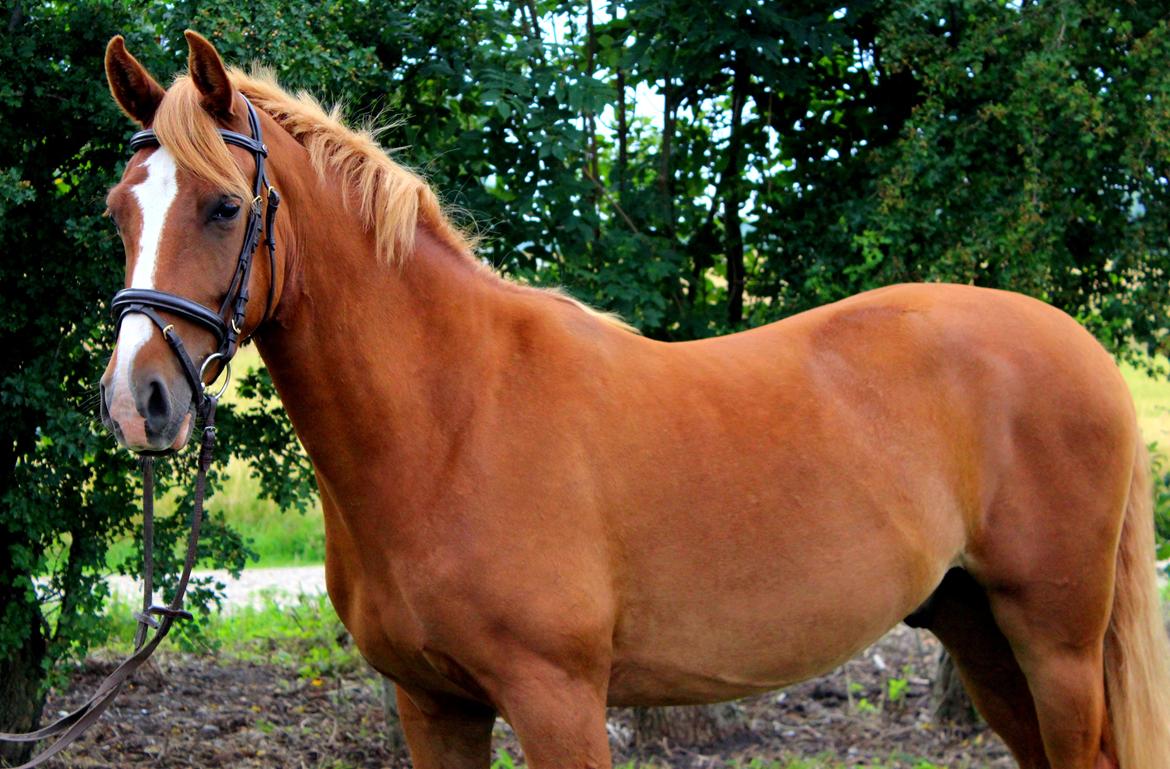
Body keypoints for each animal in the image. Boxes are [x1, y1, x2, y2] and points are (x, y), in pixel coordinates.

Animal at [97, 31, 1170, 769]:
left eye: (224, 206)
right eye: (117, 211)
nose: (137, 399)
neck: (451, 420)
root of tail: (1080, 346)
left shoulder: (559, 697)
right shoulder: (432, 703)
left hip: (1056, 641)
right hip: (980, 630)